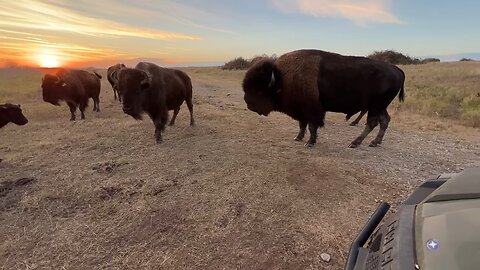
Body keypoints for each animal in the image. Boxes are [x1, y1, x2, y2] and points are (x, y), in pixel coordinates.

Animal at [242, 49, 404, 149]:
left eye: (260, 91)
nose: (249, 104)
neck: (281, 78)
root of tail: (396, 69)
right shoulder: (301, 111)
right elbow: (302, 125)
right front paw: (298, 138)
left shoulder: (313, 111)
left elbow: (312, 127)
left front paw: (310, 143)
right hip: (380, 107)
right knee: (384, 121)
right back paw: (375, 142)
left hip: (375, 107)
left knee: (372, 123)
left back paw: (354, 143)